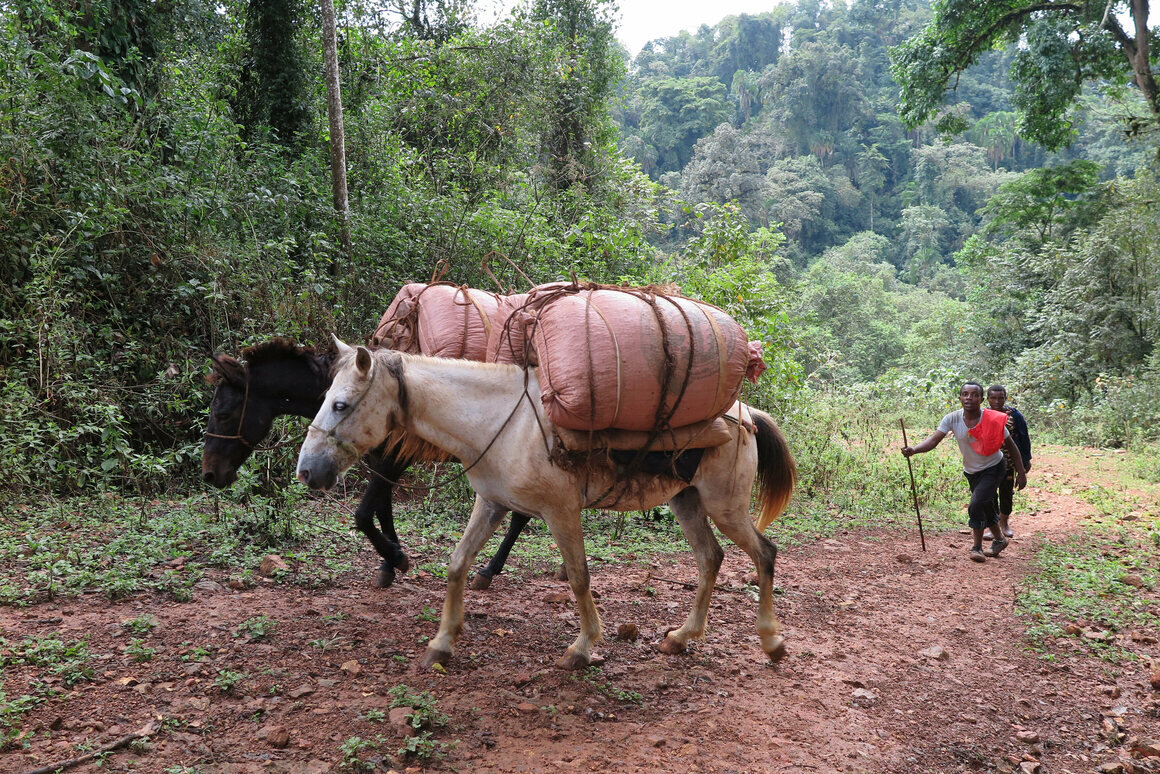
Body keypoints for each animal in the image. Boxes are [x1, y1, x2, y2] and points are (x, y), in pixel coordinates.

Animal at [296, 341, 798, 668]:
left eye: (341, 405)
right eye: (325, 399)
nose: (307, 472)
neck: (499, 423)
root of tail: (748, 414)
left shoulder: (561, 512)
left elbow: (578, 577)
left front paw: (582, 647)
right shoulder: (491, 503)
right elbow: (457, 564)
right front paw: (442, 643)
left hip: (725, 506)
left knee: (764, 554)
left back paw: (771, 641)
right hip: (687, 501)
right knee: (711, 558)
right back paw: (680, 638)